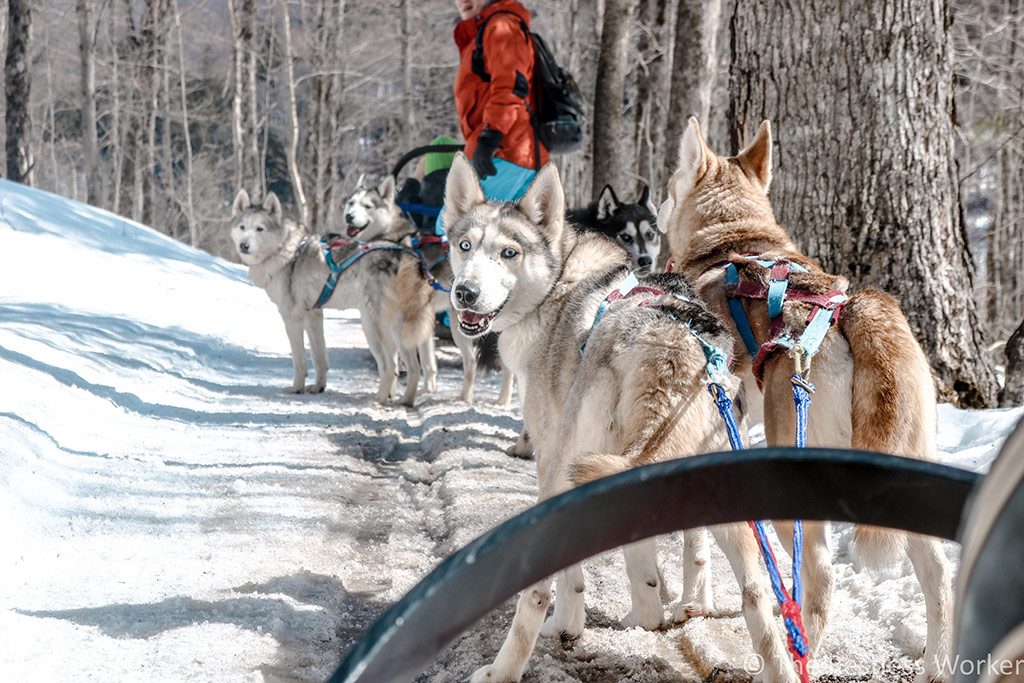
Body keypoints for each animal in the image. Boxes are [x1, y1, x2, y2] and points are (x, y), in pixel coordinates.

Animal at [230, 189, 434, 405]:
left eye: (259, 229)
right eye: (242, 227)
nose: (244, 245)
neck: (287, 250)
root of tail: (409, 257)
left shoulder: (293, 319)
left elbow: (299, 361)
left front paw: (296, 388)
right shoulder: (313, 315)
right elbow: (319, 358)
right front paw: (318, 387)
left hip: (372, 327)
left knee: (390, 367)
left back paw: (378, 399)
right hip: (399, 331)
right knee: (413, 367)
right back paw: (405, 401)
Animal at [444, 154, 811, 683]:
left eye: (509, 253)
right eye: (464, 246)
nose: (465, 293)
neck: (560, 282)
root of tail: (671, 347)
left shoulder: (552, 460)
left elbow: (571, 580)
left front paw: (568, 624)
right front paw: (643, 612)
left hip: (566, 472)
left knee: (534, 594)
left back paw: (501, 670)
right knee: (757, 595)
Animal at [659, 118, 954, 683]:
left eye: (669, 183)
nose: (656, 203)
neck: (734, 241)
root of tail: (852, 310)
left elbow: (695, 540)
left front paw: (692, 601)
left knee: (818, 580)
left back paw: (791, 654)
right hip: (910, 464)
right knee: (938, 572)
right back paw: (936, 667)